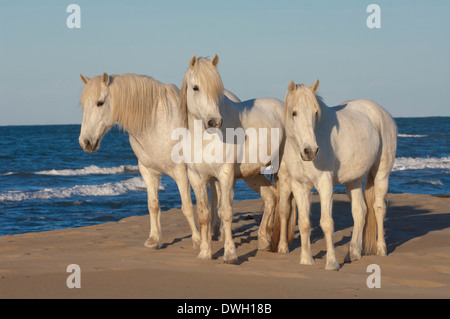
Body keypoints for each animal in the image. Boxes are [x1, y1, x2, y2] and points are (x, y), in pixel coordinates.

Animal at [180, 54, 284, 262]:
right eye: (195, 87)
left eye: (218, 90)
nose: (214, 122)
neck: (204, 140)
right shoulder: (196, 178)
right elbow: (204, 214)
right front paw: (205, 252)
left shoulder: (225, 175)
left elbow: (225, 212)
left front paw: (230, 254)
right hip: (253, 174)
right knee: (271, 197)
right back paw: (264, 241)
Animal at [274, 79, 398, 270]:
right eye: (294, 113)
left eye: (315, 113)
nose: (310, 151)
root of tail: (383, 113)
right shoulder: (299, 186)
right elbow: (304, 223)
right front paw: (306, 259)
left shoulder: (325, 184)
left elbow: (327, 223)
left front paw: (332, 262)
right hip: (354, 179)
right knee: (360, 211)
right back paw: (353, 253)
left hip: (381, 173)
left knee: (378, 208)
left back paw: (381, 249)